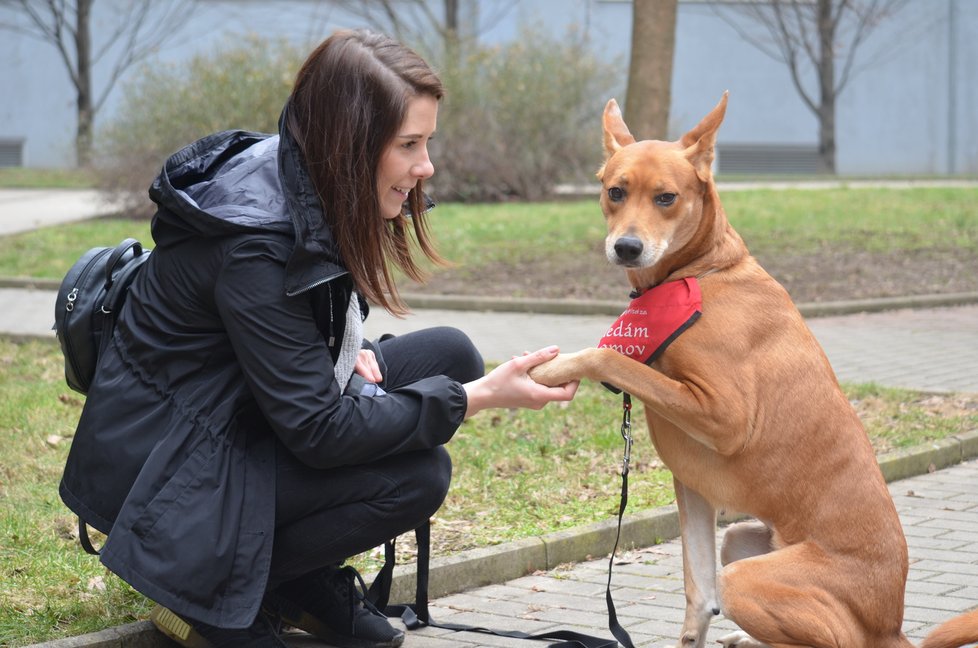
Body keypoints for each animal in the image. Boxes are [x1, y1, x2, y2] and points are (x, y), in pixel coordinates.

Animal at [528, 92, 976, 648]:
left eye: (666, 197)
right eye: (616, 191)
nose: (626, 247)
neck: (699, 272)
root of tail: (890, 624)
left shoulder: (726, 416)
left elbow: (608, 354)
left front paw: (552, 368)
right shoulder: (694, 490)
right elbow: (698, 597)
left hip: (750, 578)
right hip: (741, 540)